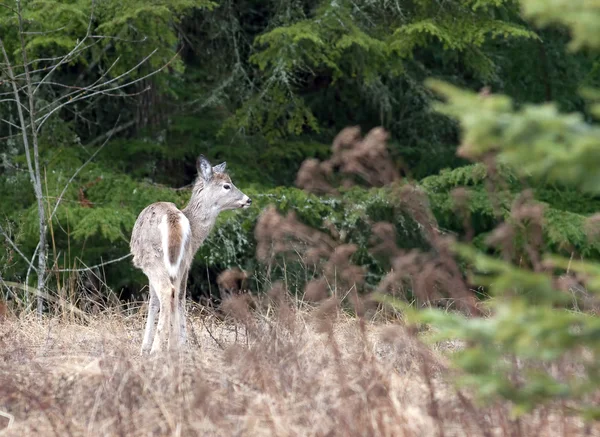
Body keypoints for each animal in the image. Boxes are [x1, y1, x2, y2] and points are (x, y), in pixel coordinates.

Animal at [130, 155, 252, 352]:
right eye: (227, 185)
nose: (248, 200)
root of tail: (172, 218)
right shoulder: (186, 264)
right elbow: (180, 298)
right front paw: (181, 344)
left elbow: (154, 301)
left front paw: (146, 348)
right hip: (178, 260)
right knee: (176, 295)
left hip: (153, 258)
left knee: (166, 292)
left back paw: (156, 348)